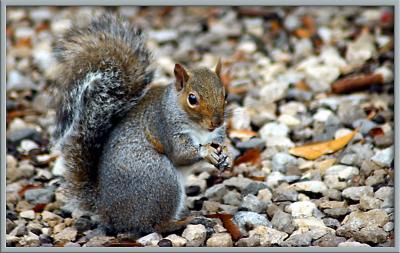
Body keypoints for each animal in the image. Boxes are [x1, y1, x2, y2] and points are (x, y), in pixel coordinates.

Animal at [51, 13, 230, 235]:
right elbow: (180, 154)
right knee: (155, 224)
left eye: (225, 95)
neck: (201, 129)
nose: (216, 121)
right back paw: (185, 221)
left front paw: (224, 156)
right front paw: (206, 151)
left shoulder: (216, 134)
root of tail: (109, 211)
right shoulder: (165, 126)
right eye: (192, 99)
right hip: (160, 178)